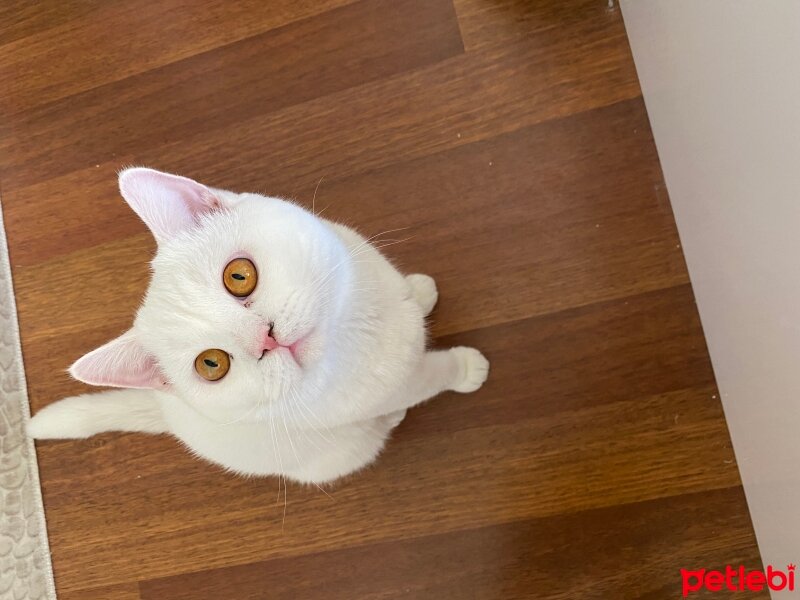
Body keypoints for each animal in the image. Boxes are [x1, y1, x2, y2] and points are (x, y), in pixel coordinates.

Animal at [26, 168, 488, 482]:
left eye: (238, 275)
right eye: (212, 364)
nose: (266, 339)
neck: (358, 332)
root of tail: (167, 413)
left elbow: (406, 298)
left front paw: (418, 293)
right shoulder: (388, 388)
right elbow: (430, 376)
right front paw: (466, 369)